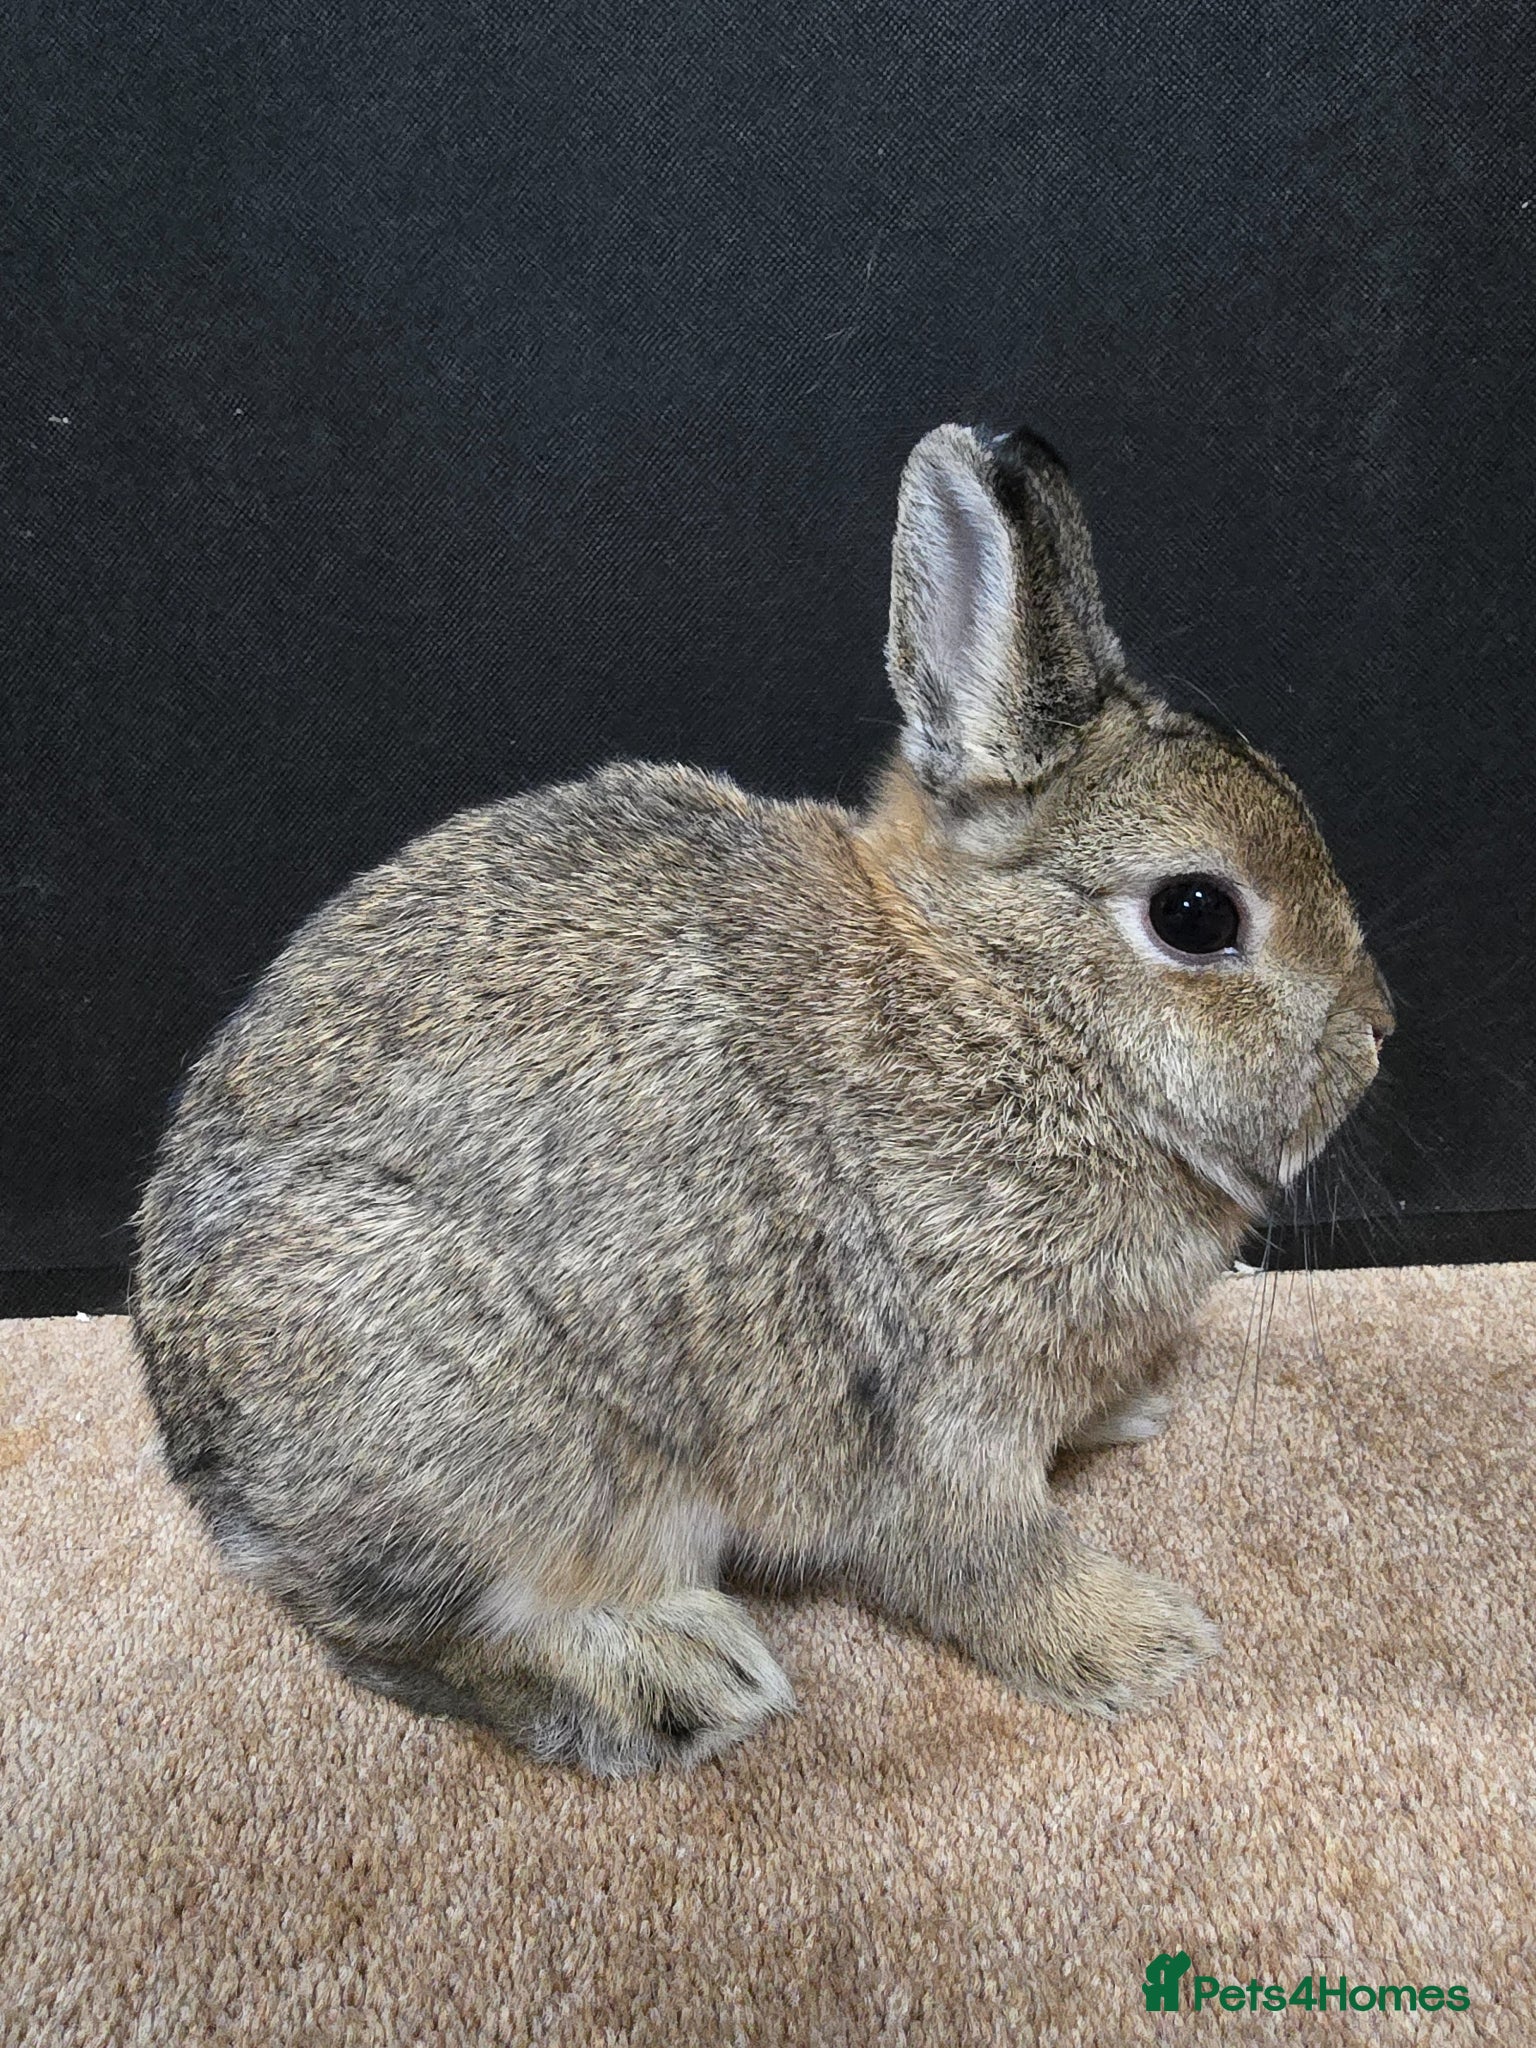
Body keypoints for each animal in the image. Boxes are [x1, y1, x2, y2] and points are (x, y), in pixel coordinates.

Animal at [132, 422, 1392, 1776]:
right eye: (1196, 914)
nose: (1379, 1031)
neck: (1008, 1004)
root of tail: (214, 1468)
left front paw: (1134, 1414)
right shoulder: (939, 1401)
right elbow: (985, 1559)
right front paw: (1145, 1643)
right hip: (495, 1443)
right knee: (407, 1639)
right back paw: (675, 1676)